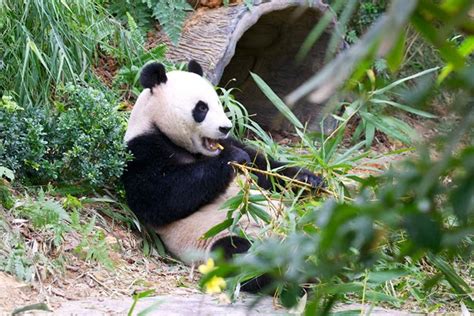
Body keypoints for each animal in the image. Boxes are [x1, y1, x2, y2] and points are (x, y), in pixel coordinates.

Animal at [121, 60, 322, 292]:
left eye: (218, 102)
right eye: (202, 108)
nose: (225, 127)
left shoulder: (229, 142)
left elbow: (265, 168)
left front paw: (310, 179)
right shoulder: (142, 153)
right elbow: (162, 199)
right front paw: (232, 159)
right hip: (219, 237)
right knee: (240, 255)